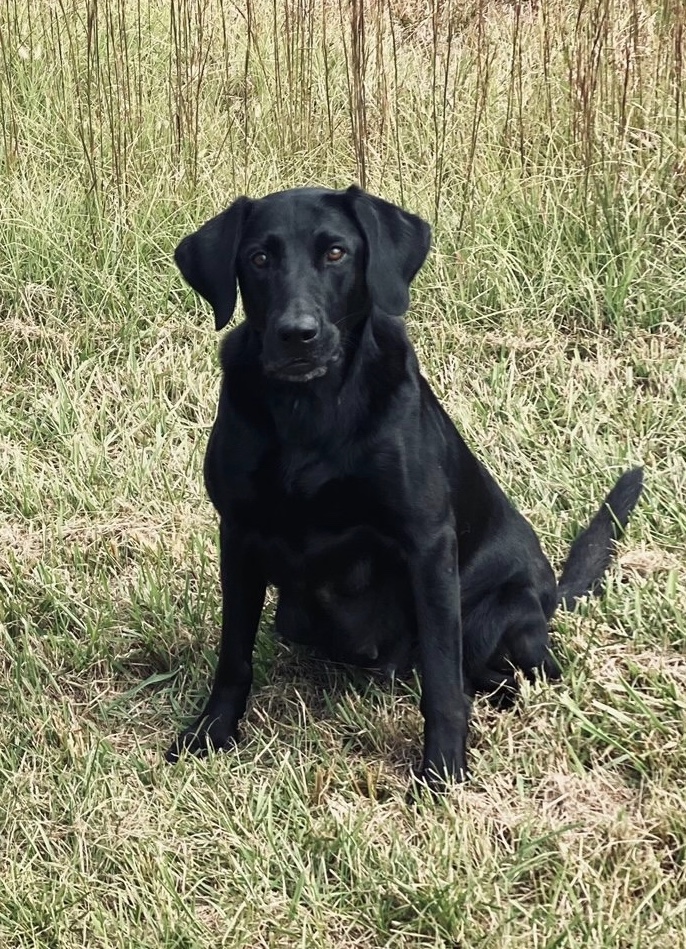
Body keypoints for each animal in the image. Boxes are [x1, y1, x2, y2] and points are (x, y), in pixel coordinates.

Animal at [167, 183, 644, 784]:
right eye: (258, 258)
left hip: (498, 619)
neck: (310, 412)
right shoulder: (238, 536)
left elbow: (442, 681)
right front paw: (211, 734)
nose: (298, 335)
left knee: (513, 673)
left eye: (336, 252)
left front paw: (442, 770)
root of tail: (552, 591)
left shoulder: (427, 544)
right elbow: (234, 656)